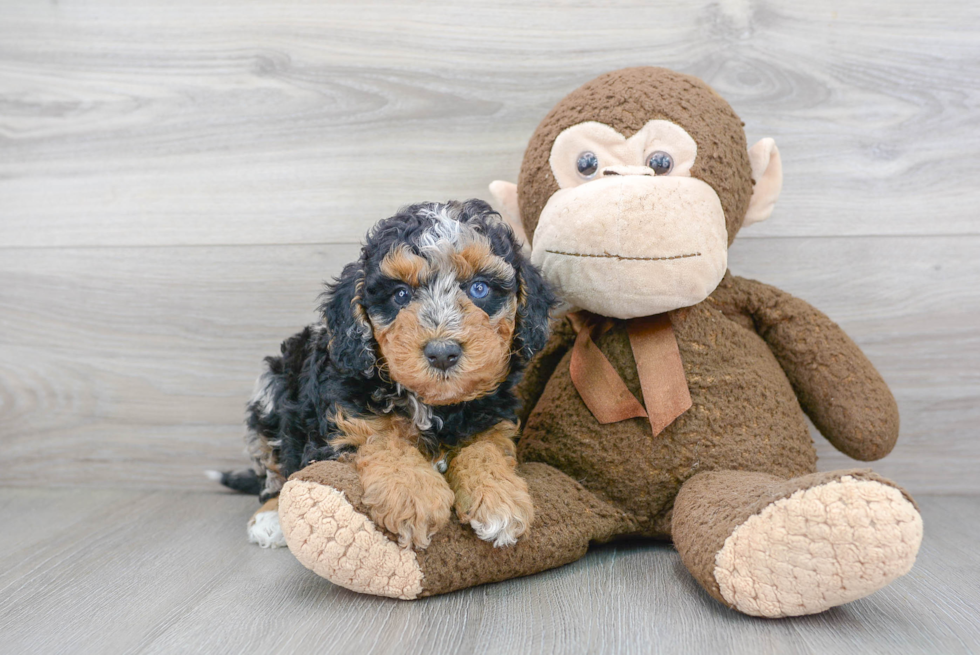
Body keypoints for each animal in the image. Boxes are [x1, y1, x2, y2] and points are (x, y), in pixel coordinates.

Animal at [211, 200, 556, 552]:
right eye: (401, 295)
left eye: (479, 288)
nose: (442, 353)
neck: (434, 405)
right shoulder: (346, 415)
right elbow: (382, 437)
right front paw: (414, 496)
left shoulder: (491, 416)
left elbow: (485, 448)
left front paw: (499, 496)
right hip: (271, 390)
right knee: (273, 471)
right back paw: (269, 517)